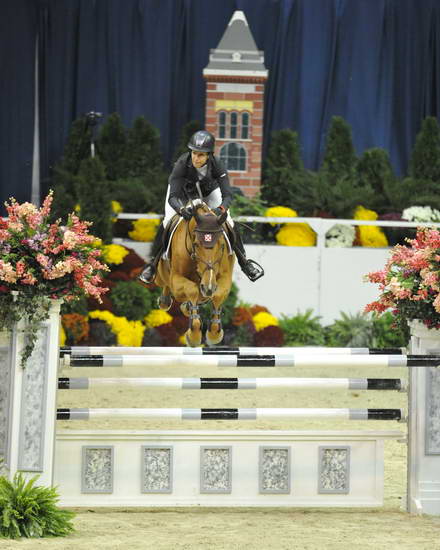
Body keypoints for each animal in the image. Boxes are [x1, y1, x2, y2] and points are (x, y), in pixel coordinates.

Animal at [154, 203, 235, 350]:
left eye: (221, 245)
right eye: (196, 244)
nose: (208, 287)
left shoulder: (225, 279)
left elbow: (218, 295)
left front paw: (214, 334)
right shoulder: (176, 280)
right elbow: (192, 290)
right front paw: (194, 336)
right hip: (160, 275)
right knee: (166, 285)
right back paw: (165, 300)